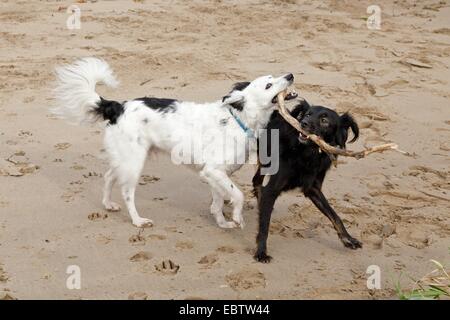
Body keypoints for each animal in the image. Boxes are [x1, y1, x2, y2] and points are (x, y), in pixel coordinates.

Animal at [53, 57, 298, 228]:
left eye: (274, 76)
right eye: (268, 85)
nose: (290, 75)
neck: (238, 119)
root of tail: (117, 106)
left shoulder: (215, 173)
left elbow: (218, 201)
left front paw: (222, 223)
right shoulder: (213, 170)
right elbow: (237, 194)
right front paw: (237, 218)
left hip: (126, 158)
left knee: (108, 176)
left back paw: (107, 204)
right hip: (134, 163)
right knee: (127, 192)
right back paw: (138, 220)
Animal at [253, 100, 362, 262]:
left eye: (324, 120)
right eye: (308, 114)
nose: (303, 123)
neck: (306, 153)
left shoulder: (313, 188)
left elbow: (334, 215)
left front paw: (348, 239)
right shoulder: (272, 188)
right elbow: (264, 224)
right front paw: (261, 252)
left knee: (256, 181)